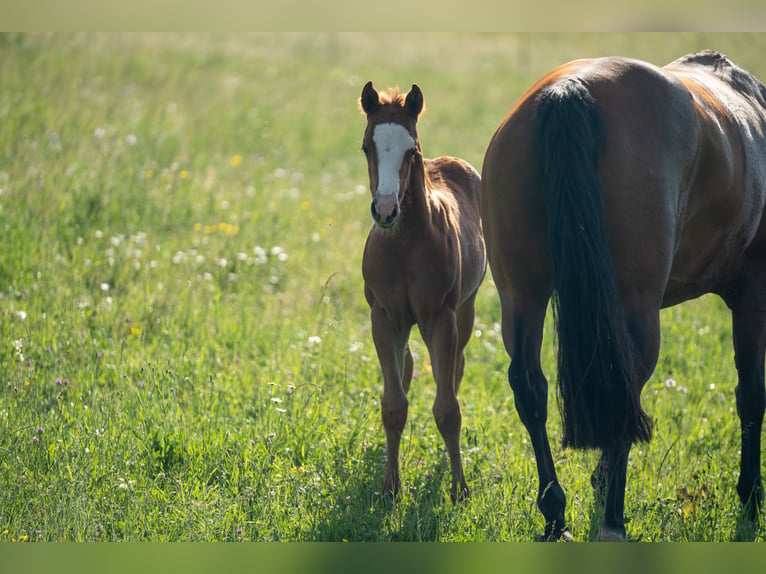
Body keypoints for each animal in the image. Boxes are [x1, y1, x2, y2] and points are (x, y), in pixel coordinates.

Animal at [359, 81, 486, 503]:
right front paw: (390, 488)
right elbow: (393, 405)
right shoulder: (384, 318)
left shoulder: (439, 318)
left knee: (455, 369)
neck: (404, 244)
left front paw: (459, 488)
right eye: (366, 147)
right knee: (409, 365)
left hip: (465, 309)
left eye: (411, 151)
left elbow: (448, 409)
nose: (385, 210)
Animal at [481, 50, 766, 541]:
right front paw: (750, 497)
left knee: (531, 387)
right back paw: (612, 520)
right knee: (624, 385)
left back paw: (555, 512)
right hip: (635, 306)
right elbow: (751, 394)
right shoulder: (752, 290)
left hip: (522, 294)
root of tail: (569, 90)